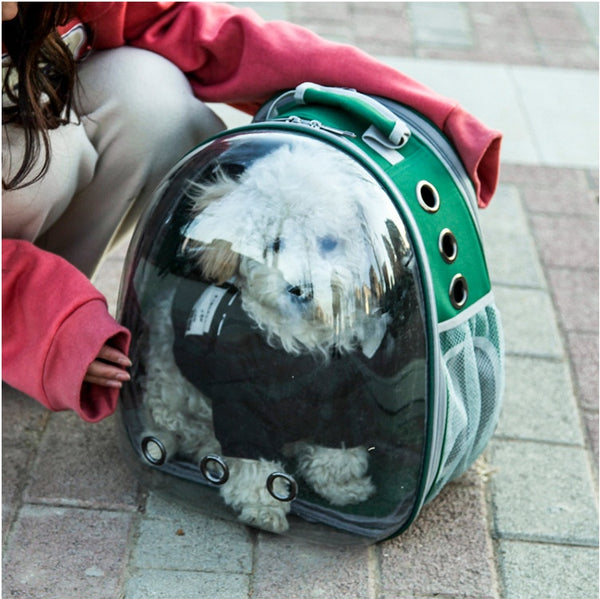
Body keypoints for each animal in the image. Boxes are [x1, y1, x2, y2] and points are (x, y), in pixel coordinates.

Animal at [139, 138, 394, 532]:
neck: (298, 346)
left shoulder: (340, 399)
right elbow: (252, 461)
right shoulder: (240, 406)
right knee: (177, 424)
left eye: (328, 243)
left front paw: (341, 485)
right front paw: (262, 503)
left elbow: (336, 449)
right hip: (171, 386)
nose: (301, 289)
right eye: (275, 244)